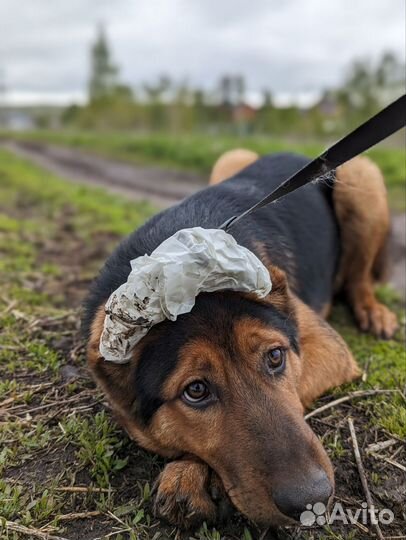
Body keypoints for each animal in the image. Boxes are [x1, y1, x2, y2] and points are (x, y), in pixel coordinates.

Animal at [82, 150, 396, 528]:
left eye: (275, 357)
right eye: (196, 391)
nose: (313, 500)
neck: (180, 269)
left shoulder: (328, 347)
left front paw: (191, 474)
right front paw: (191, 471)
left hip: (360, 176)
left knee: (359, 278)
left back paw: (373, 311)